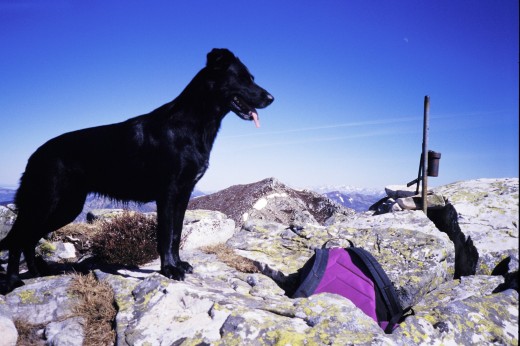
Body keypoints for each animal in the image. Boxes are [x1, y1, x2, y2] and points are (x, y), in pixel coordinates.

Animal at [0, 48, 274, 292]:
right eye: (242, 78)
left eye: (252, 77)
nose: (271, 98)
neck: (191, 123)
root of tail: (35, 155)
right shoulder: (167, 194)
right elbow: (165, 234)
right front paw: (168, 269)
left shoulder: (183, 194)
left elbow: (176, 234)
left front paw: (179, 264)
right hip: (46, 203)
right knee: (19, 238)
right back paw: (13, 282)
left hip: (66, 207)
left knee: (28, 238)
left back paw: (38, 272)